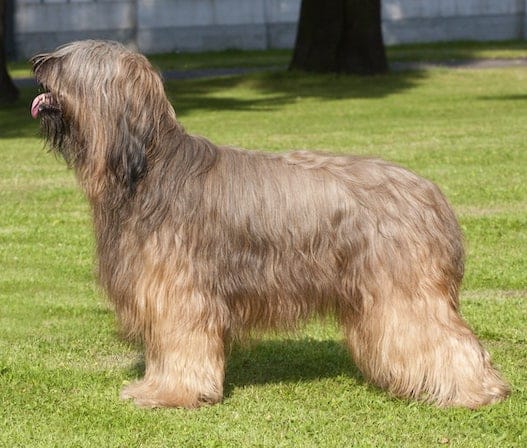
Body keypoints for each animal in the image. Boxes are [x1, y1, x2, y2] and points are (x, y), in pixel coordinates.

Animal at [31, 41, 510, 410]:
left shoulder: (180, 293)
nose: (36, 62)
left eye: (67, 61)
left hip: (405, 289)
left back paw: (475, 392)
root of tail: (430, 193)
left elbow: (180, 346)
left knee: (448, 339)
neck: (146, 168)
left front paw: (169, 394)